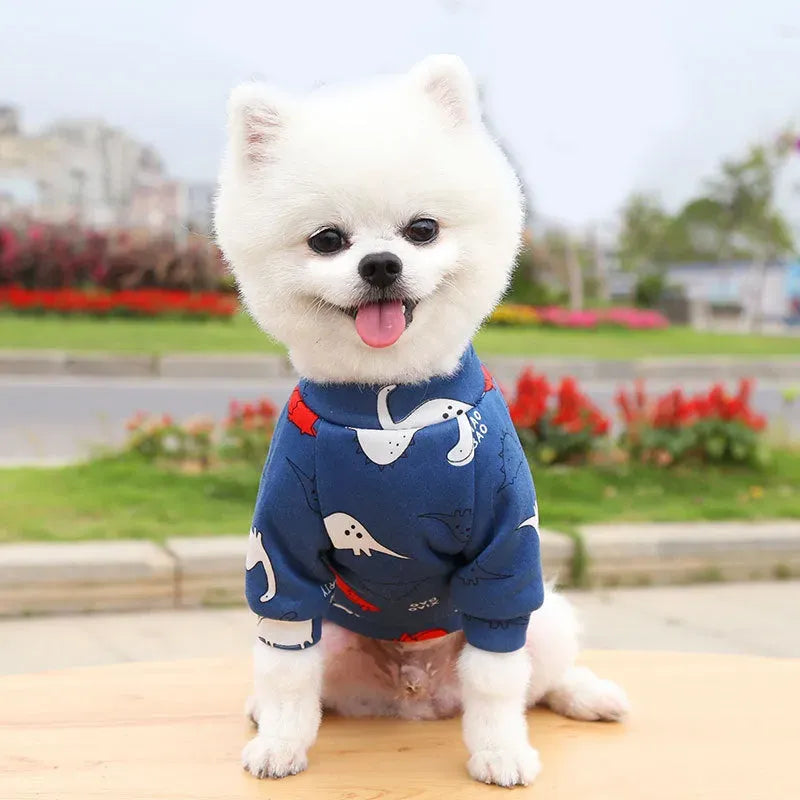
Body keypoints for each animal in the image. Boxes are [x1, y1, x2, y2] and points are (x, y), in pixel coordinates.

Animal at [216, 54, 628, 788]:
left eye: (423, 229)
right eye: (328, 240)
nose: (381, 263)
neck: (386, 404)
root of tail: (415, 693)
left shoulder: (505, 555)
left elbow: (497, 680)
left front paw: (499, 750)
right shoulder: (283, 558)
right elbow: (285, 669)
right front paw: (282, 743)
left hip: (544, 615)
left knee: (542, 677)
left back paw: (589, 694)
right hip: (335, 637)